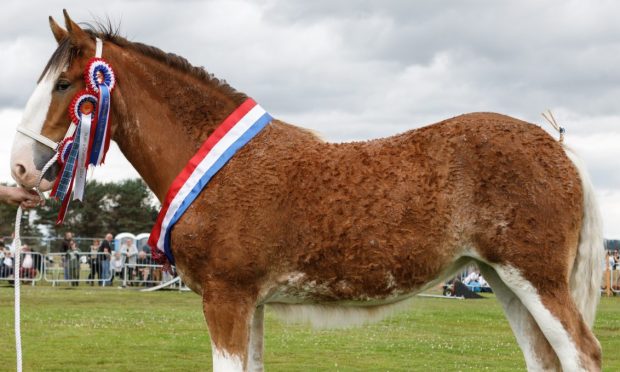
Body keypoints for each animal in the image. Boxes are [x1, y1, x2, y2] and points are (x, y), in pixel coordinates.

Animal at [9, 11, 604, 372]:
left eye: (65, 84)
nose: (19, 169)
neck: (222, 166)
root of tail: (559, 148)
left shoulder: (226, 301)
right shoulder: (247, 305)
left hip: (535, 280)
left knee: (582, 353)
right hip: (505, 280)